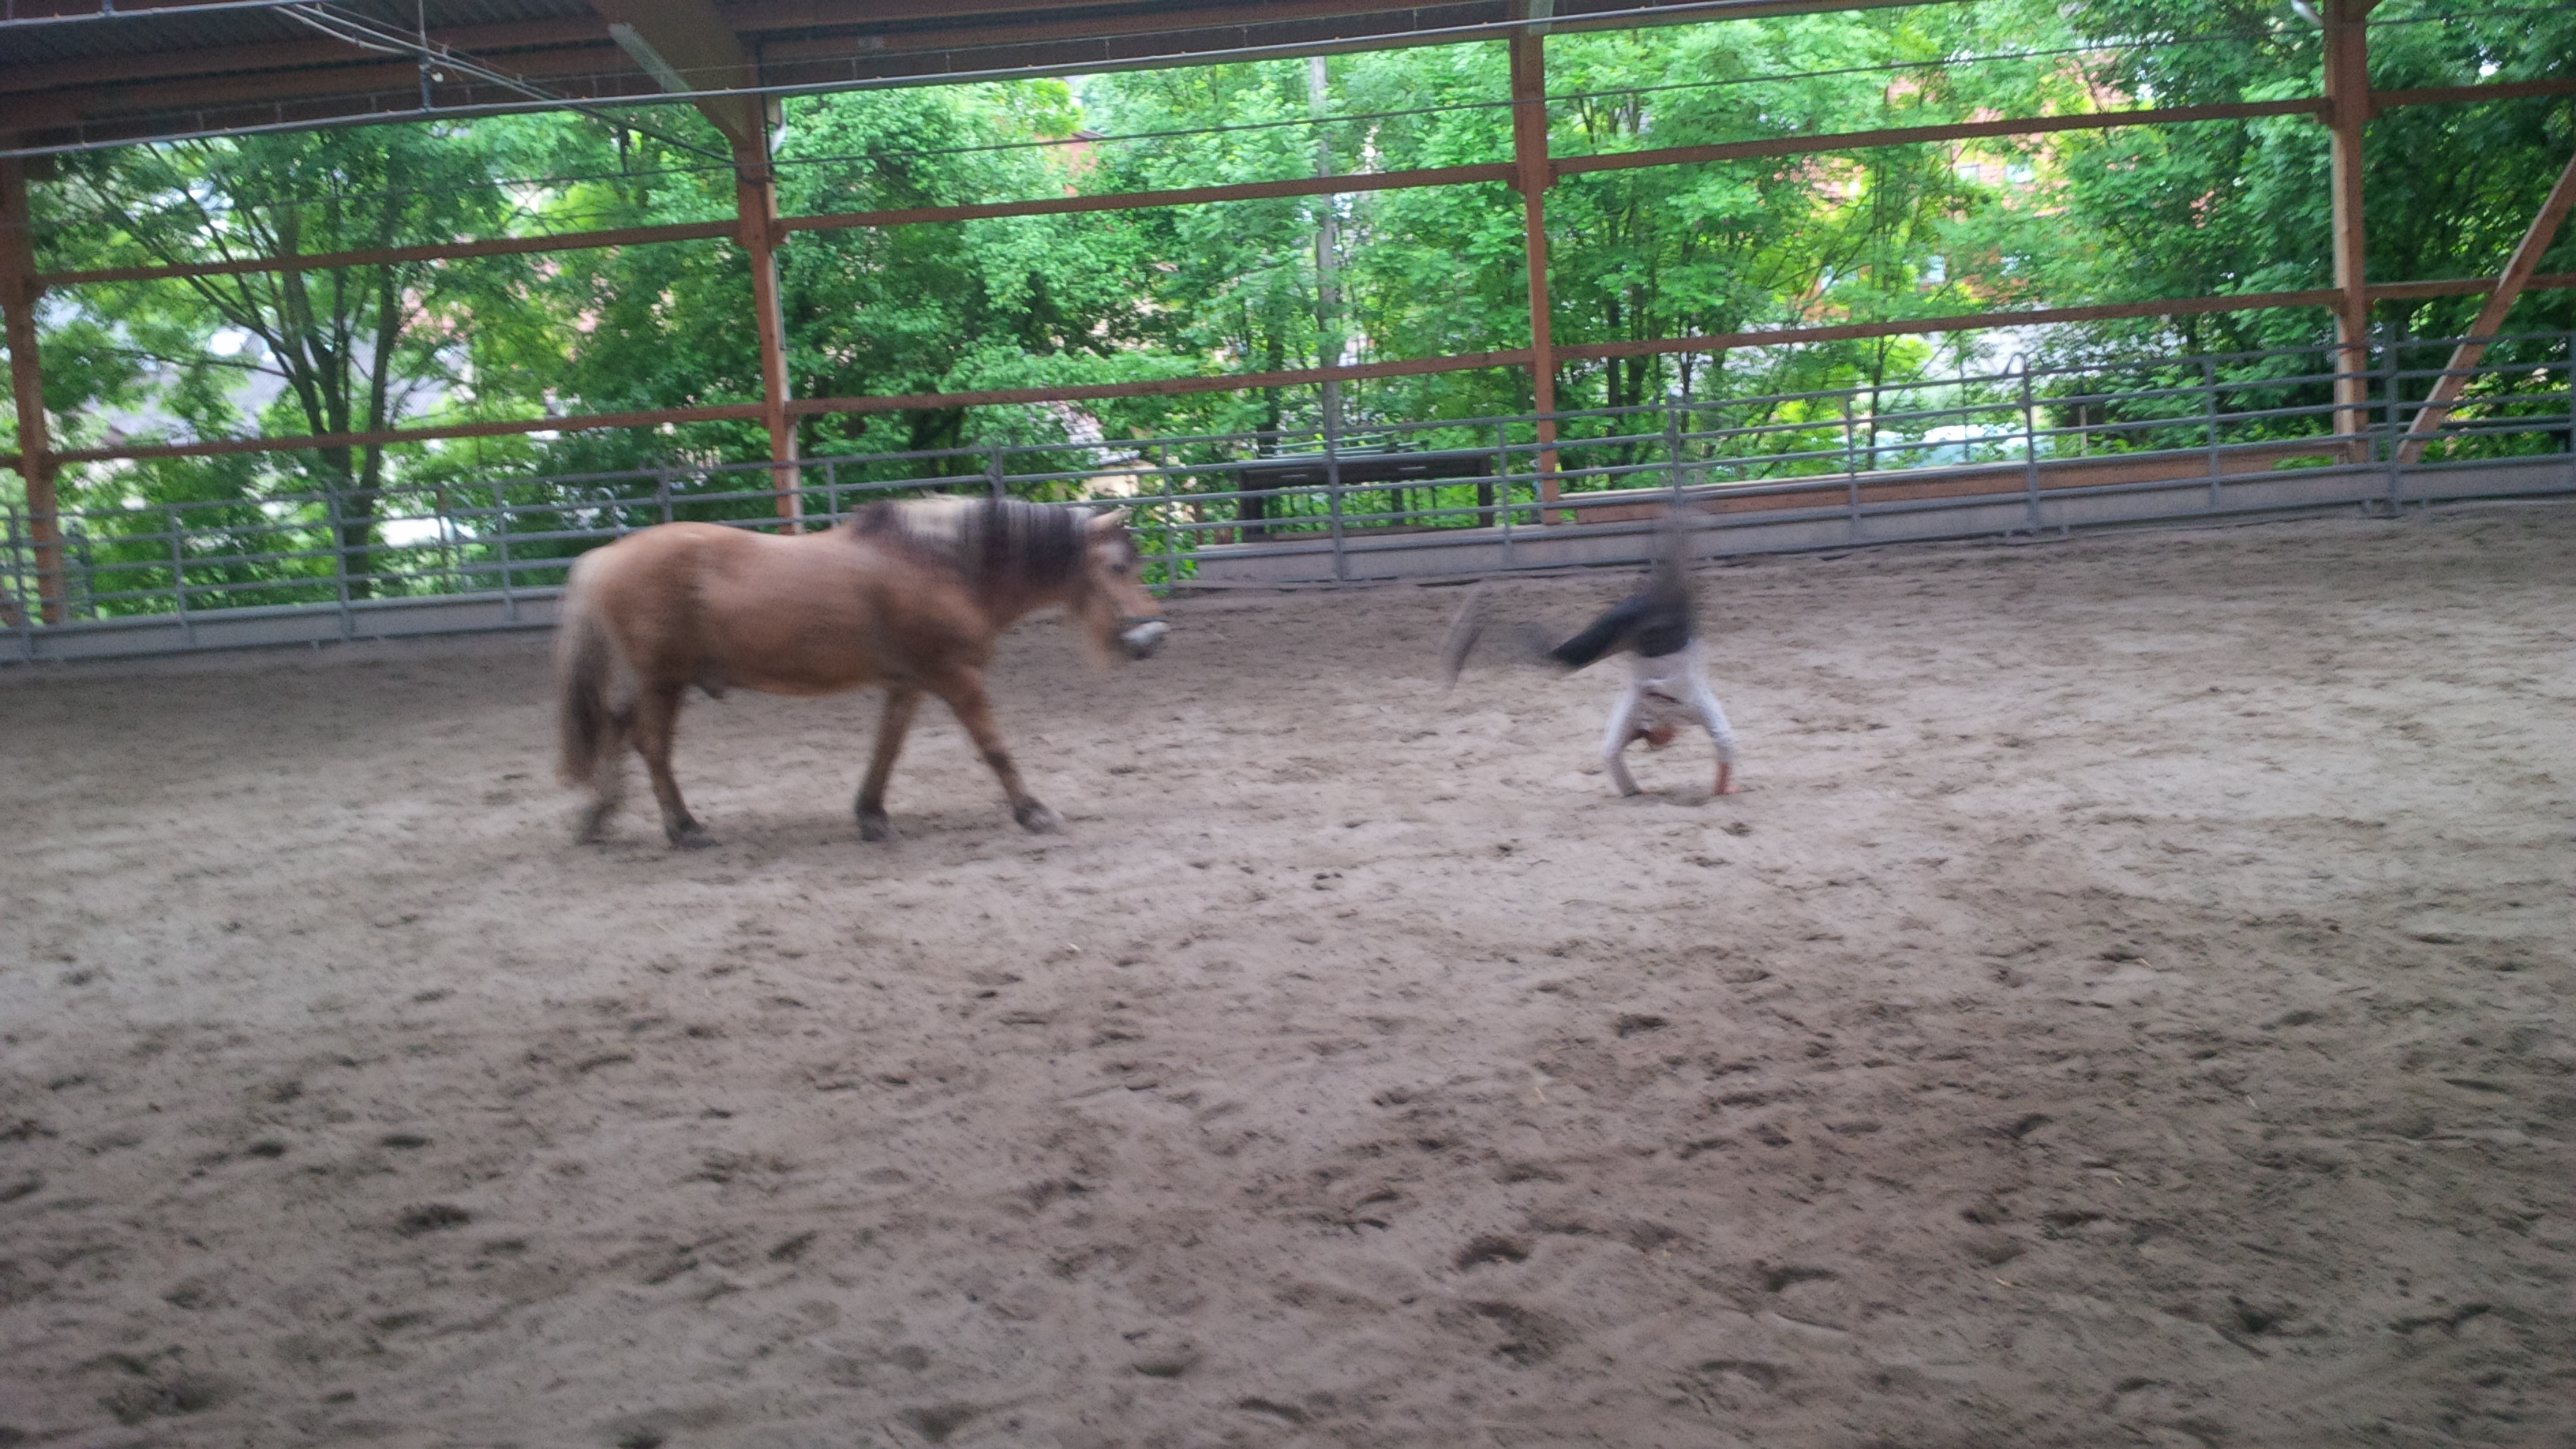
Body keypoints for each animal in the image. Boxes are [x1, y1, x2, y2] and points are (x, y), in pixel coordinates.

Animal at [554, 496, 1169, 847]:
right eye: (1118, 567)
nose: (1154, 636)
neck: (945, 565)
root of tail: (604, 558)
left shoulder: (908, 683)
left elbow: (886, 750)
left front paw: (870, 815)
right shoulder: (955, 677)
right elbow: (994, 747)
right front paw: (1033, 811)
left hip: (660, 683)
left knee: (619, 731)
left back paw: (599, 817)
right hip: (664, 681)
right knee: (651, 746)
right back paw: (682, 827)